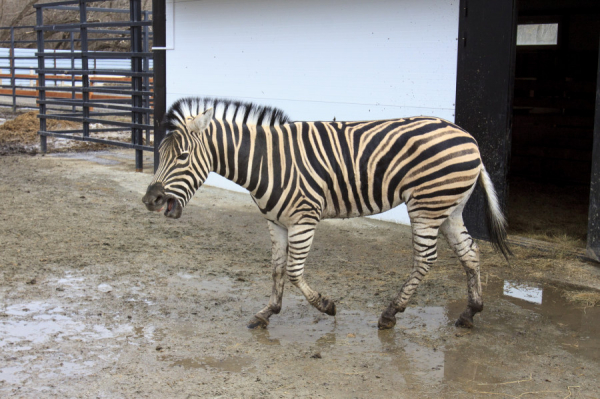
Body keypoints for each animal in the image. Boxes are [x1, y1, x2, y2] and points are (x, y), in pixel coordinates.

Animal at [143, 96, 508, 332]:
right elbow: (276, 269)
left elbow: (293, 272)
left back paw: (390, 313)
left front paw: (326, 306)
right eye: (158, 151)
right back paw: (470, 313)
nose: (151, 199)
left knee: (426, 258)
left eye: (183, 156)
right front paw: (267, 312)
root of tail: (468, 137)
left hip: (426, 205)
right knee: (469, 251)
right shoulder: (275, 222)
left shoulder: (303, 219)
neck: (267, 161)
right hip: (449, 207)